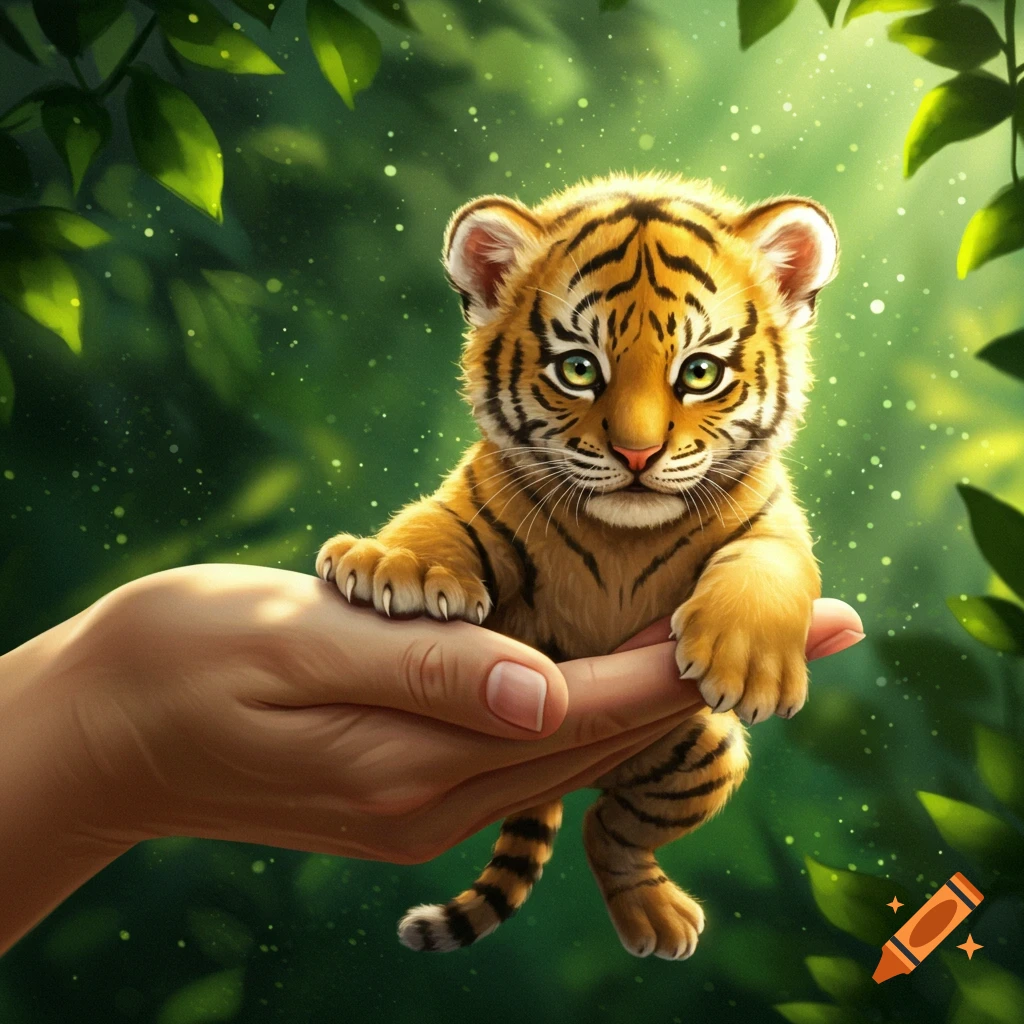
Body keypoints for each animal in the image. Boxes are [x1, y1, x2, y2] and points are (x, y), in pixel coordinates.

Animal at [316, 172, 838, 960]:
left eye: (700, 372)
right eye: (580, 367)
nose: (637, 454)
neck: (625, 538)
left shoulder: (773, 521)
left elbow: (766, 560)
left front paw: (747, 663)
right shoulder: (482, 500)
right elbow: (435, 521)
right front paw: (394, 567)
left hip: (700, 757)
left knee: (610, 828)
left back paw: (658, 918)